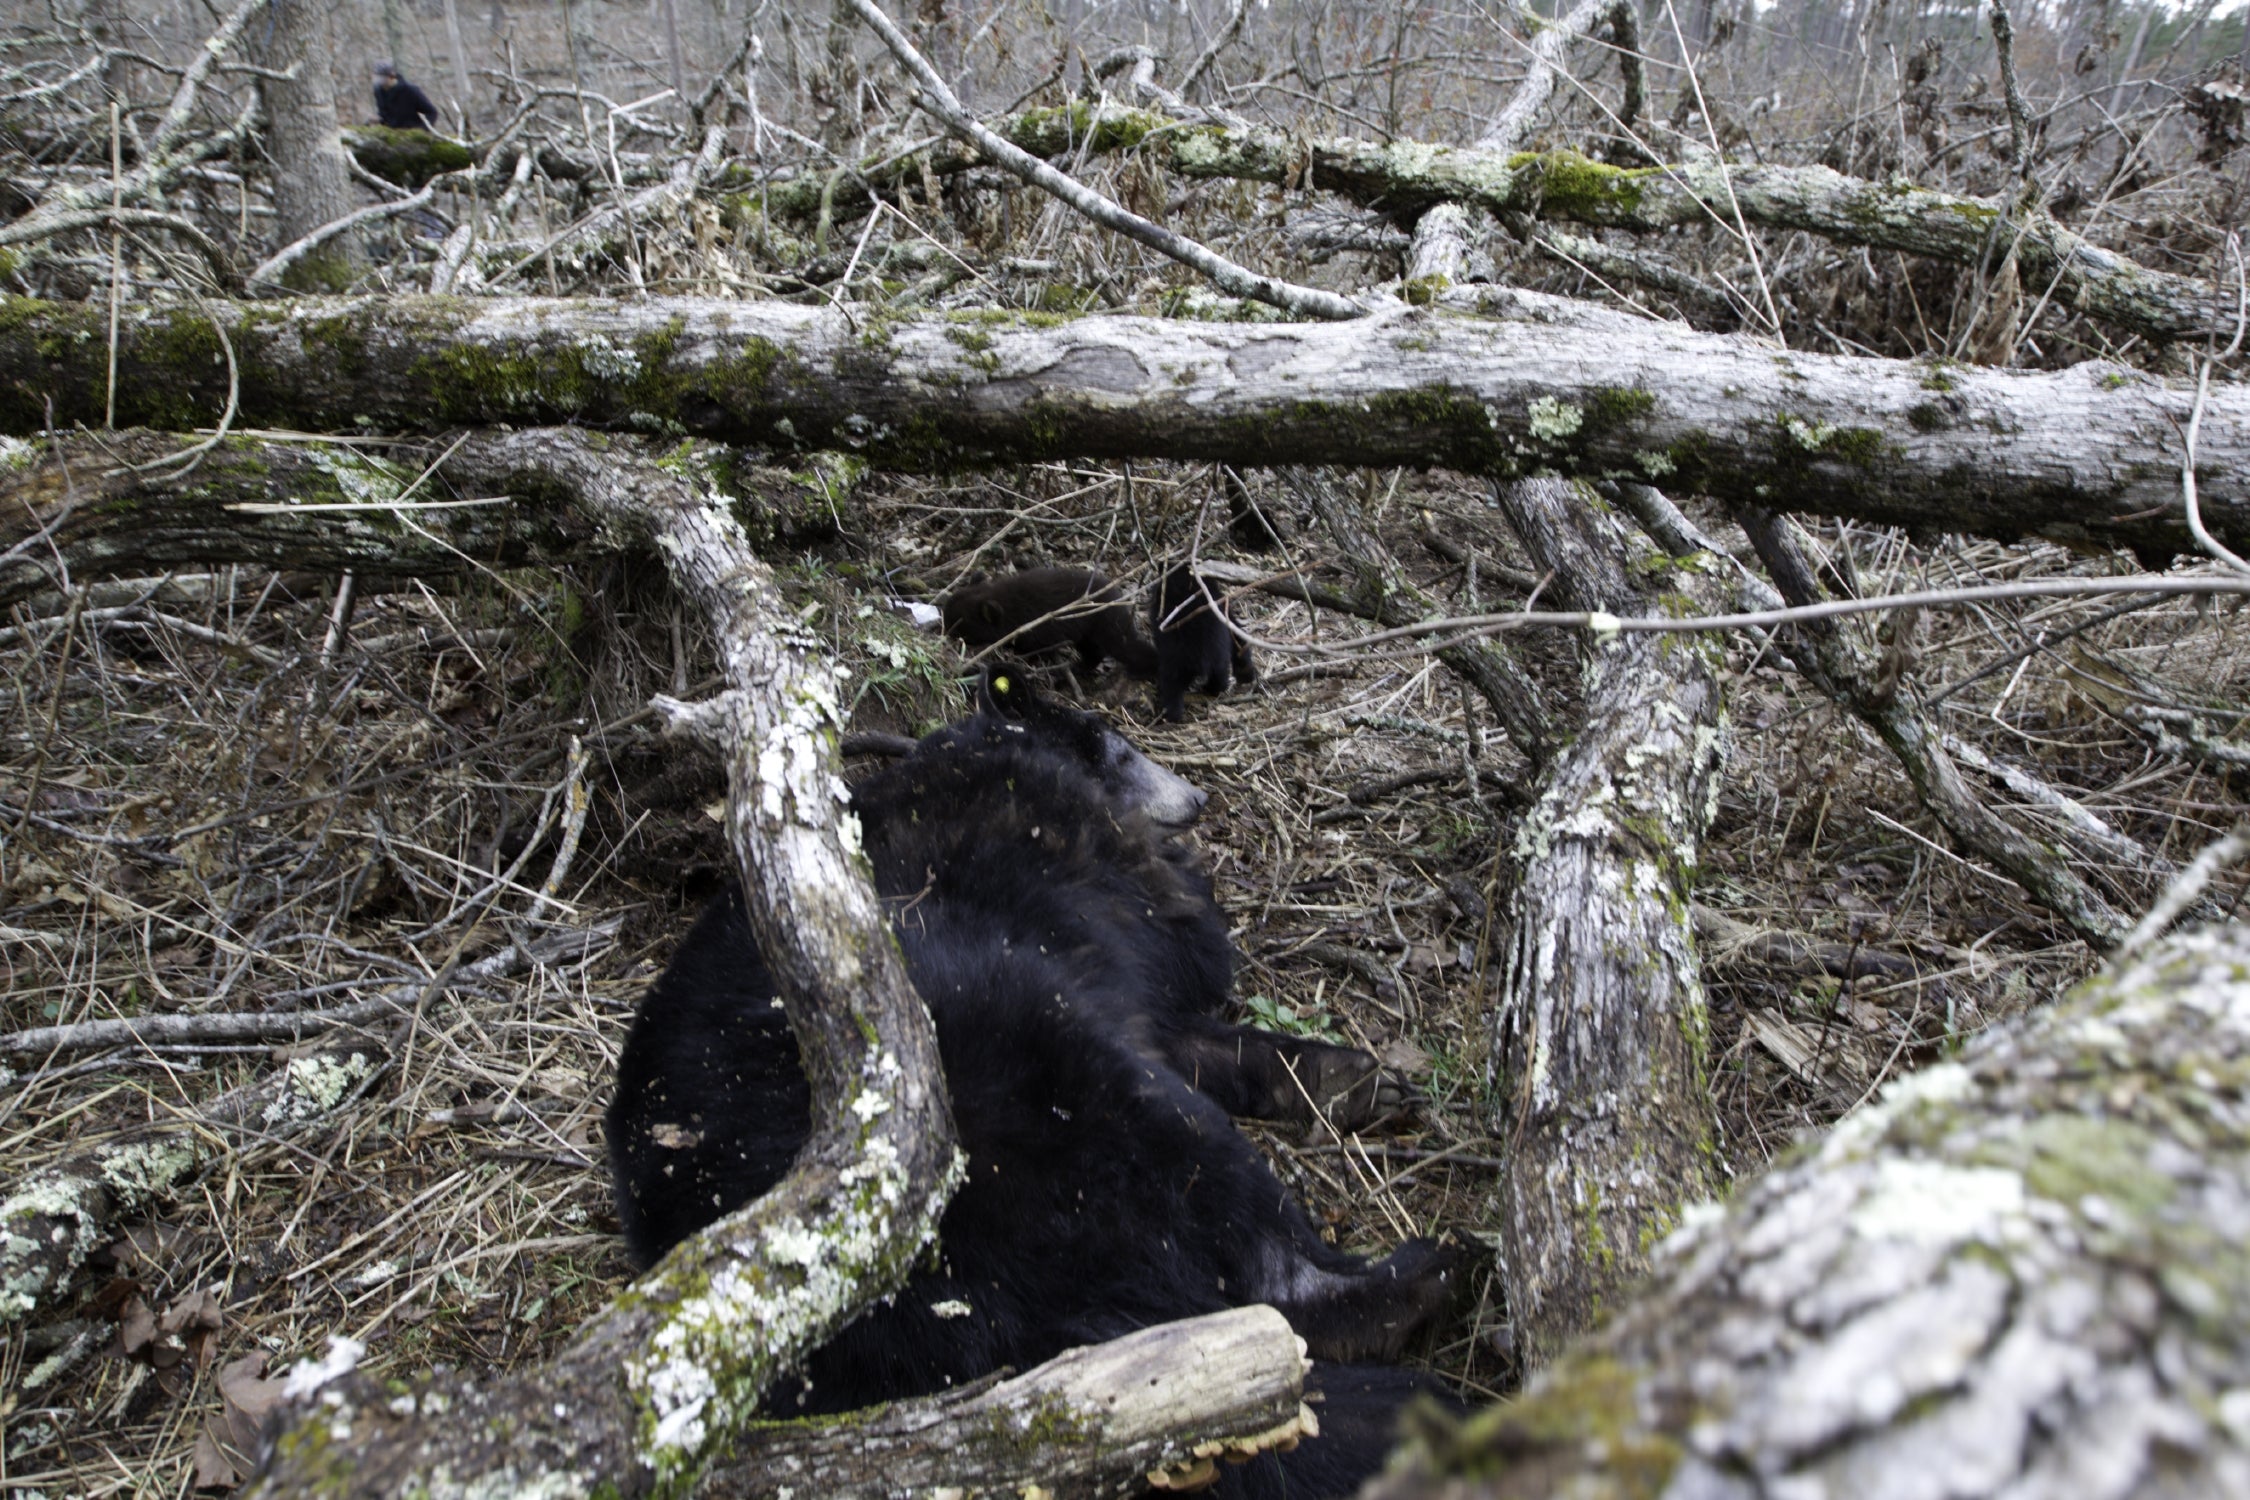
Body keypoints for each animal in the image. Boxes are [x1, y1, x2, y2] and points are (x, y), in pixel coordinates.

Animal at [612, 670, 1458, 1500]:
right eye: (1116, 743)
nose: (1197, 797)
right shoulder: (1094, 882)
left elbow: (1181, 1024)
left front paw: (1346, 1077)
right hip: (1038, 1077)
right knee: (1229, 1213)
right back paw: (1408, 1281)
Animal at [1152, 566, 1260, 724]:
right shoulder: (1224, 612)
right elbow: (1239, 637)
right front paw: (1246, 673)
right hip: (1219, 658)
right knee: (1220, 678)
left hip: (1175, 664)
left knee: (1171, 687)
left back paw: (1170, 715)